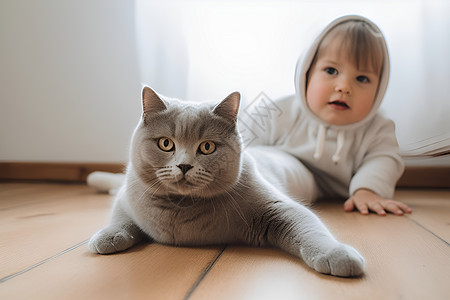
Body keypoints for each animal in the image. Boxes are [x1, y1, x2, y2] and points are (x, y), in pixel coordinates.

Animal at [89, 86, 366, 276]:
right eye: (166, 143)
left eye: (207, 147)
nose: (184, 165)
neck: (180, 210)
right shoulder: (128, 197)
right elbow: (119, 217)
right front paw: (107, 236)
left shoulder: (278, 207)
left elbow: (309, 227)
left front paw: (336, 255)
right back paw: (95, 178)